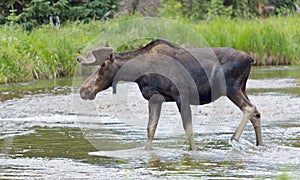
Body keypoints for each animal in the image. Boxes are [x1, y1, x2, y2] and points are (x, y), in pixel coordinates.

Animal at [78, 39, 262, 150]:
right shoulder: (154, 99)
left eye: (102, 67)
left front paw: (193, 152)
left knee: (249, 108)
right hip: (241, 88)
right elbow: (150, 129)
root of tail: (250, 59)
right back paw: (259, 145)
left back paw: (234, 138)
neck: (138, 73)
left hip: (231, 88)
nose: (83, 90)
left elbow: (188, 128)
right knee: (257, 113)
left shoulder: (181, 96)